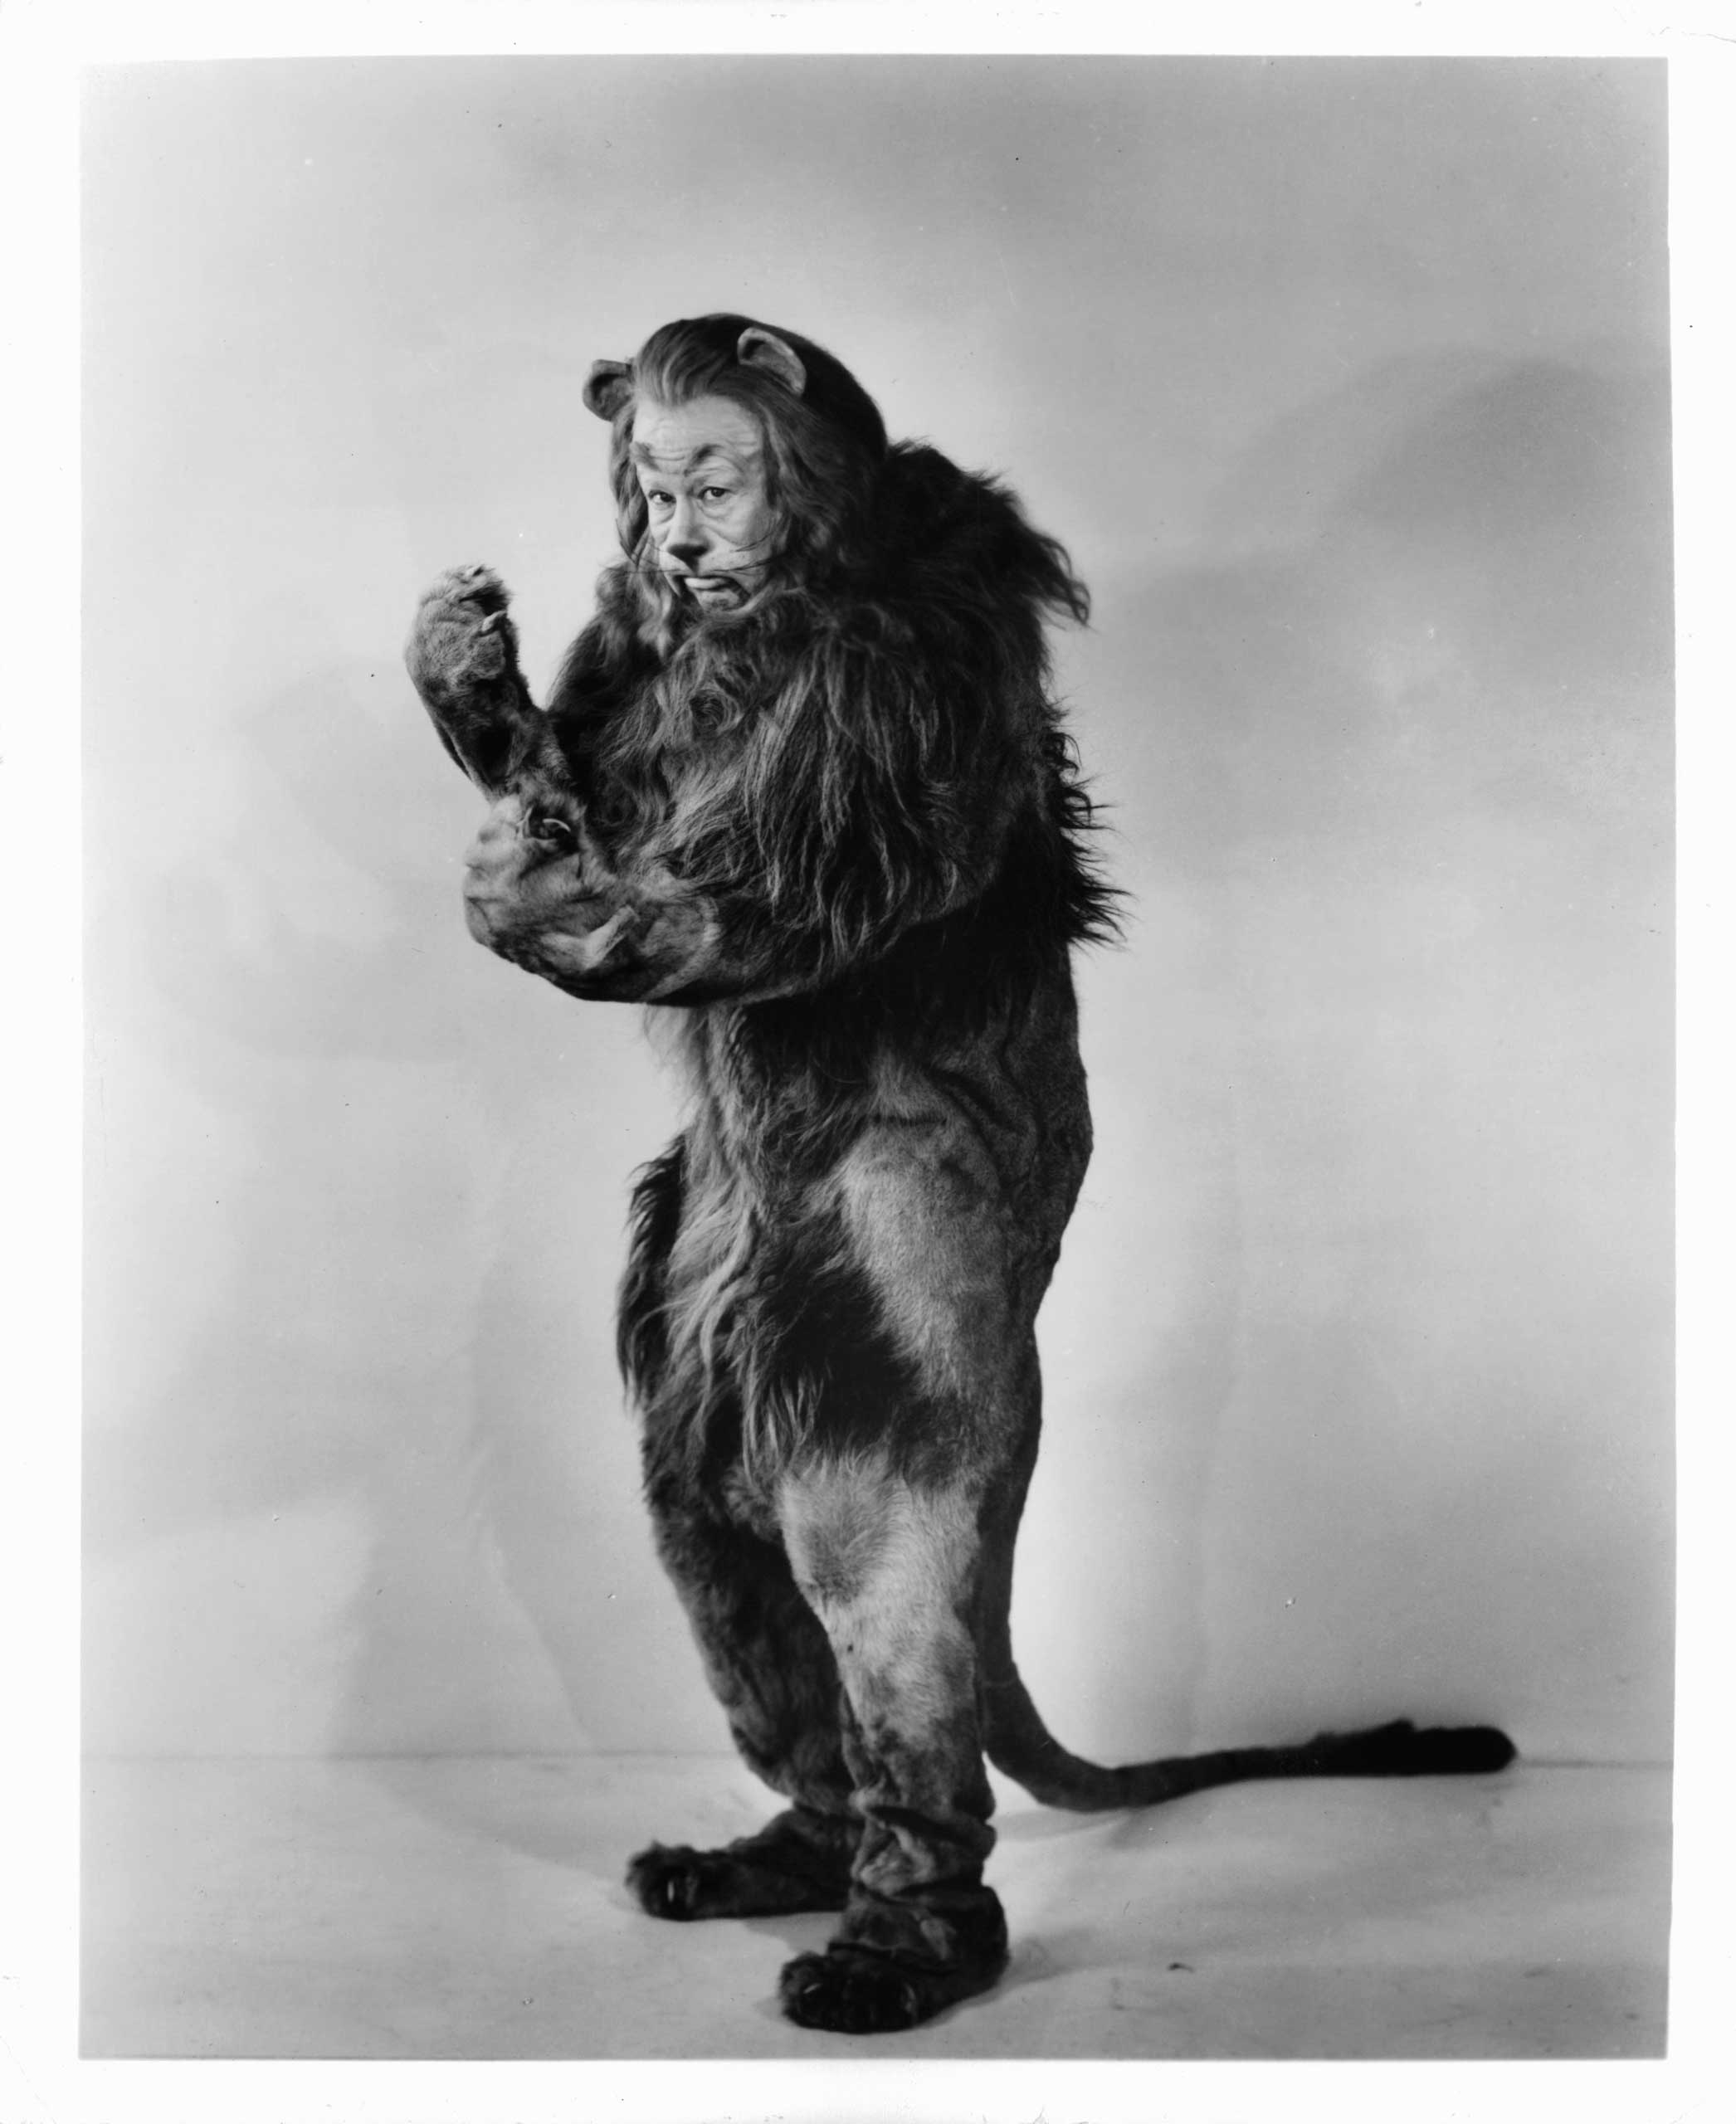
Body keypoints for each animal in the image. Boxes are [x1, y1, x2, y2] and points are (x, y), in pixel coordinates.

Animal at [404, 314, 1514, 2035]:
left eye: (706, 476)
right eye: (648, 488)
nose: (675, 545)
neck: (778, 612)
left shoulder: (890, 723)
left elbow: (722, 895)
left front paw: (512, 830)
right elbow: (596, 753)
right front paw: (463, 654)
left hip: (880, 1367)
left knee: (898, 1662)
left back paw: (896, 1954)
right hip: (692, 1406)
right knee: (775, 1656)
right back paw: (765, 1866)